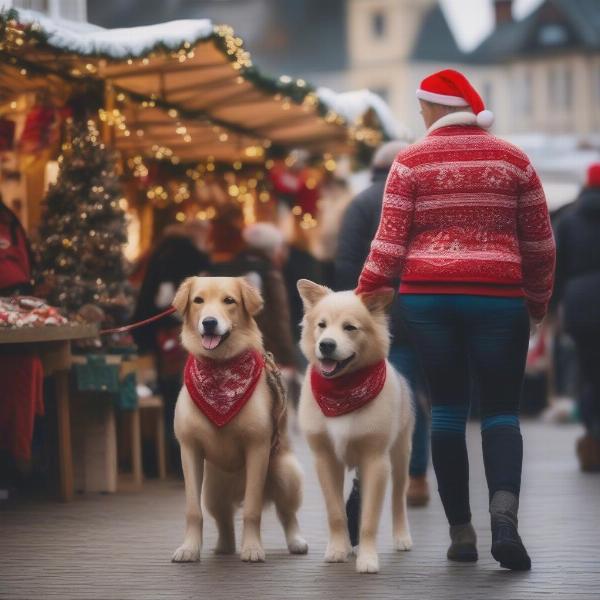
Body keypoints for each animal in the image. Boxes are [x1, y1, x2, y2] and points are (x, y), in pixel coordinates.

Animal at [170, 276, 308, 564]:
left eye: (229, 301)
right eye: (198, 300)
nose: (209, 322)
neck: (220, 370)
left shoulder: (257, 446)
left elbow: (252, 511)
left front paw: (253, 548)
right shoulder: (189, 449)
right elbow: (193, 511)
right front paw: (189, 548)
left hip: (286, 473)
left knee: (287, 513)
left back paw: (296, 541)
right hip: (213, 489)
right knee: (223, 519)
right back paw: (224, 546)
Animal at [296, 278, 412, 576]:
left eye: (350, 327)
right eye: (322, 325)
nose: (326, 345)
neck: (342, 389)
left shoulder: (376, 460)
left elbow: (369, 518)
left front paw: (368, 560)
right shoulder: (325, 459)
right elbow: (336, 513)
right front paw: (338, 550)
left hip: (400, 455)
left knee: (398, 499)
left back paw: (402, 537)